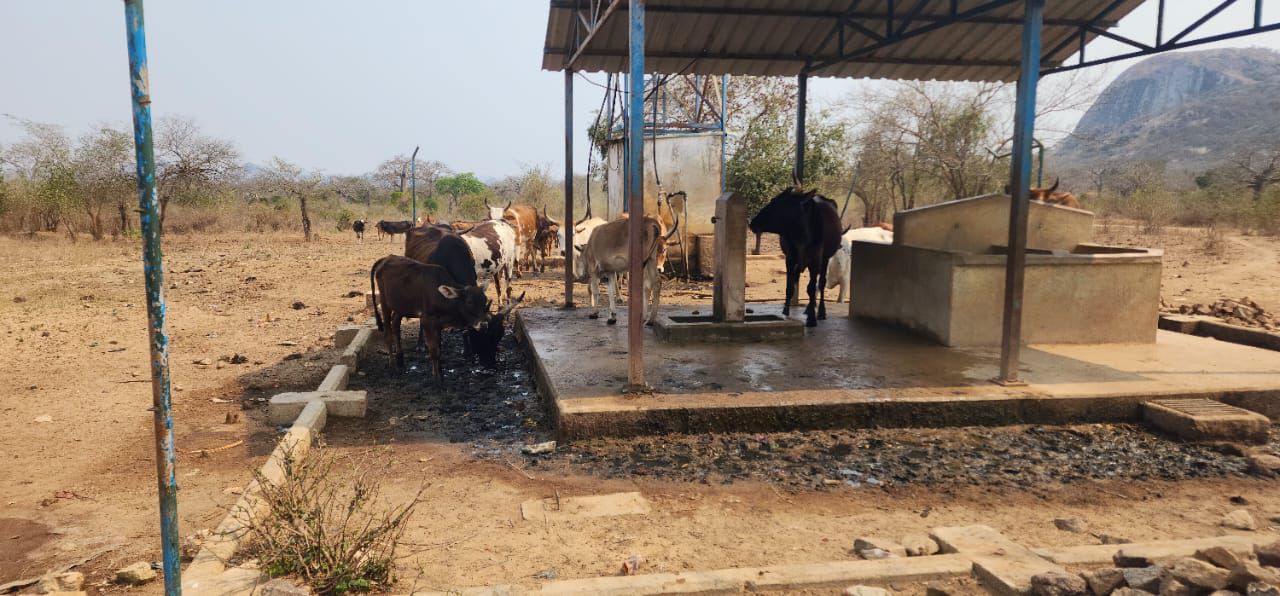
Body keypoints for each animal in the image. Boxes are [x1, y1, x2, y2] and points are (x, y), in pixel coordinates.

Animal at [369, 255, 490, 384]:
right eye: (469, 302)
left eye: (485, 300)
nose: (484, 324)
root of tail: (386, 258)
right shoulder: (427, 321)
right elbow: (434, 351)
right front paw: (437, 379)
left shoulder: (439, 324)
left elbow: (439, 348)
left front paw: (441, 373)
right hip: (384, 301)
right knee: (388, 334)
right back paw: (392, 366)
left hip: (400, 306)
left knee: (396, 324)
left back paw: (400, 359)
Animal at [748, 188, 842, 327]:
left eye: (779, 205)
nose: (752, 222)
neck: (800, 235)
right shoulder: (790, 258)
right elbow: (789, 286)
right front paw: (785, 311)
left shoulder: (815, 260)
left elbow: (811, 288)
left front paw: (812, 318)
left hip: (825, 259)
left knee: (821, 284)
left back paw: (820, 311)